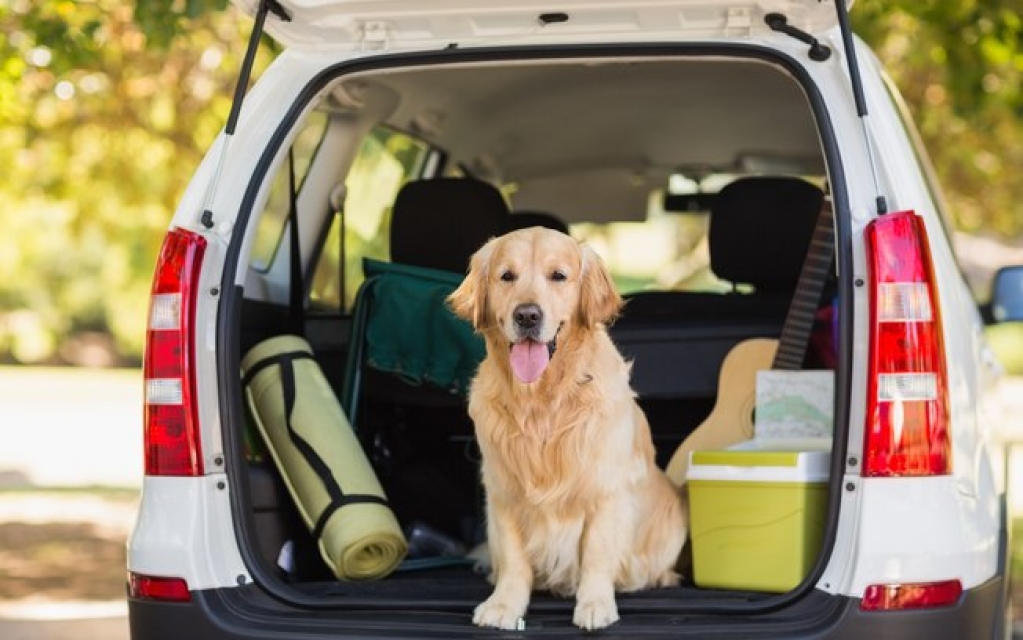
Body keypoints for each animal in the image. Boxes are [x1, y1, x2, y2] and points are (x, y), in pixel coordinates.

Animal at [448, 223, 687, 629]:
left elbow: (597, 553)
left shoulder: (606, 490)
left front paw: (595, 605)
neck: (542, 400)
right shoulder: (502, 490)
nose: (528, 315)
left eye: (558, 276)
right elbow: (513, 558)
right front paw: (504, 605)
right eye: (506, 276)